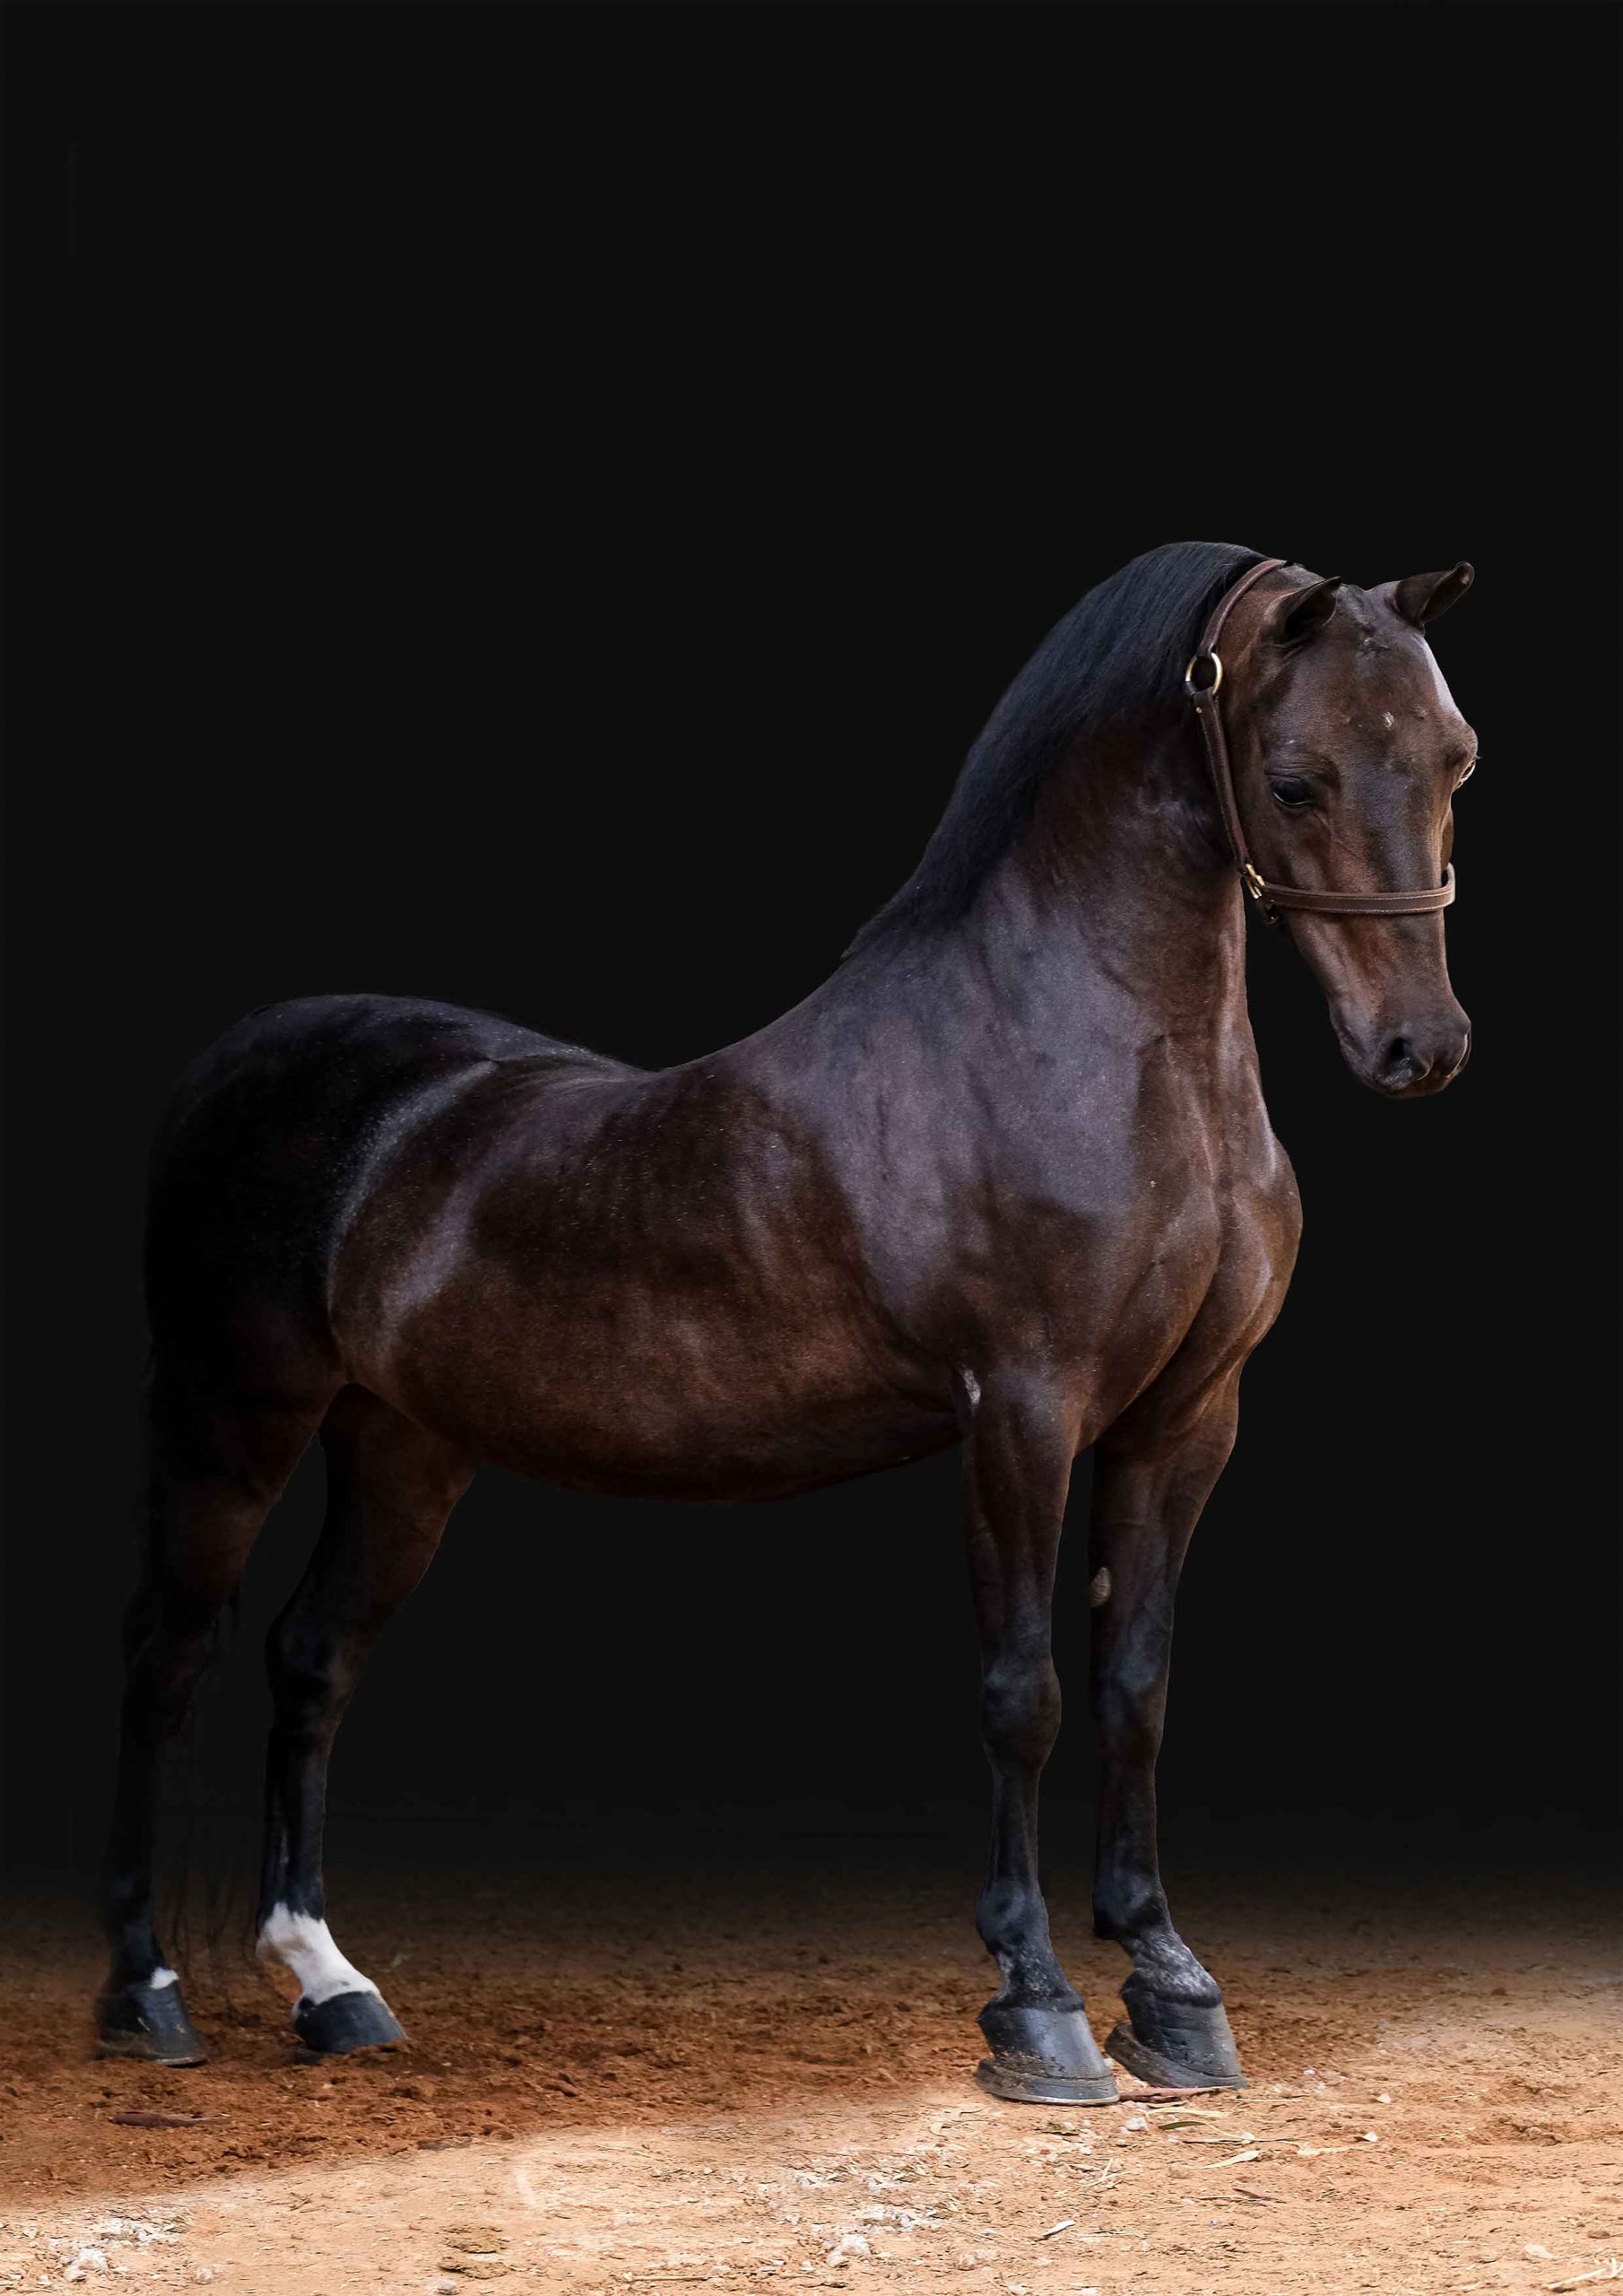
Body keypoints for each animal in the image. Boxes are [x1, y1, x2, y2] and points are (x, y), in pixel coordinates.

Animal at [96, 542, 1477, 2102]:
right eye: (1296, 780)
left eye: (1455, 760)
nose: (1417, 1048)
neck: (1099, 1058)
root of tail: (239, 1058)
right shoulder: (1020, 1414)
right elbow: (1024, 1693)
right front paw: (1037, 2005)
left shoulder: (1183, 1421)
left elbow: (1136, 1687)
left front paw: (1172, 1989)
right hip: (231, 1422)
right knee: (166, 1660)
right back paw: (148, 1995)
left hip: (401, 1451)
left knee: (311, 1659)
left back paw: (331, 1987)